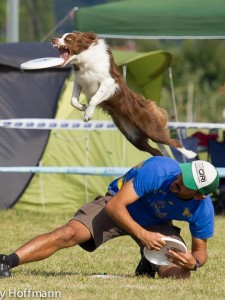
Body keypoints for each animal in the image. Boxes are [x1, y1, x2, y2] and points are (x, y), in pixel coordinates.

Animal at [51, 32, 196, 159]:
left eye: (69, 39)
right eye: (60, 36)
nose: (53, 39)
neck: (84, 58)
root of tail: (148, 105)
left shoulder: (109, 82)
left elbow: (94, 98)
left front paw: (88, 114)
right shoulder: (79, 81)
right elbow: (73, 100)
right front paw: (82, 107)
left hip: (151, 129)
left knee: (173, 142)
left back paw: (190, 154)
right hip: (133, 137)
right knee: (156, 151)